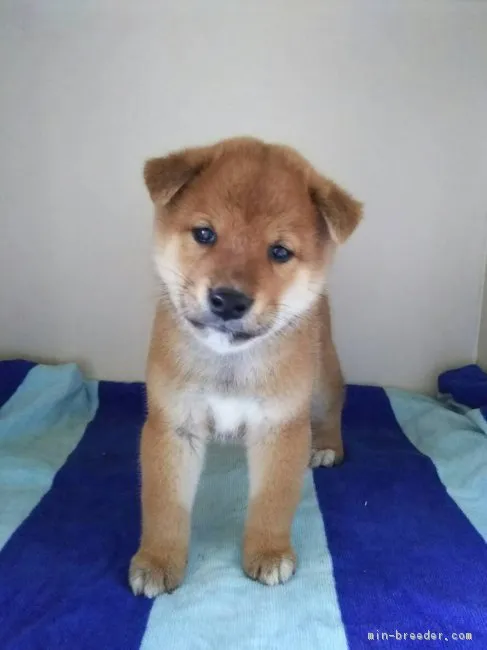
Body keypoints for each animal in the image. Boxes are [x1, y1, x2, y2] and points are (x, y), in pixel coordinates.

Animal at [130, 138, 362, 596]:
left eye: (279, 252)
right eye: (205, 234)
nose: (230, 300)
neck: (229, 364)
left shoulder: (281, 427)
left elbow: (272, 502)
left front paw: (269, 552)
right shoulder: (174, 425)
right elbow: (164, 504)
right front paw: (158, 560)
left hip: (321, 379)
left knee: (334, 403)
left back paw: (328, 445)